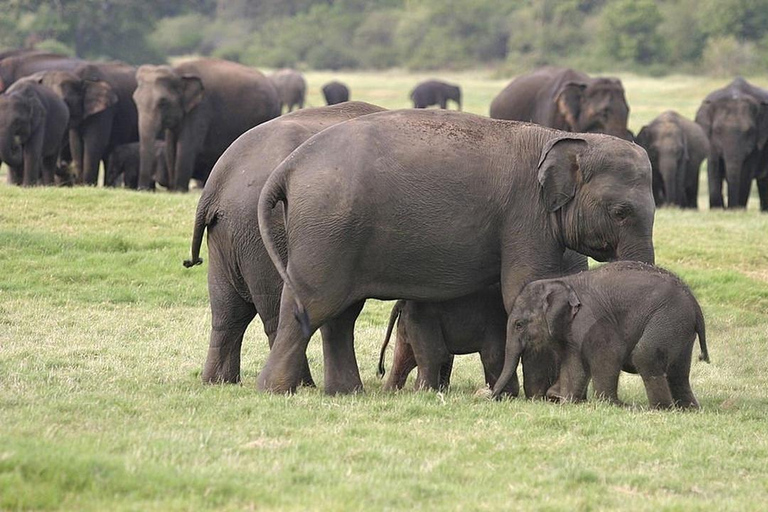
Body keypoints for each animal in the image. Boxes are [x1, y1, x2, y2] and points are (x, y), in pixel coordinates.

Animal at [133, 59, 280, 192]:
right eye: (135, 100)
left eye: (163, 102)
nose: (142, 189)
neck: (178, 73)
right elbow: (171, 147)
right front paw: (173, 190)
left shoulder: (201, 109)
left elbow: (186, 147)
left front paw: (179, 190)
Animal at [183, 101, 386, 385]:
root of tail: (217, 182)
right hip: (264, 237)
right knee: (279, 313)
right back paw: (302, 385)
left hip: (229, 236)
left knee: (228, 312)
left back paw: (219, 381)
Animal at [378, 251, 587, 396]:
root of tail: (401, 302)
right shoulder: (495, 318)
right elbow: (494, 354)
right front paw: (507, 394)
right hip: (424, 319)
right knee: (435, 355)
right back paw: (425, 393)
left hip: (410, 324)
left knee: (404, 357)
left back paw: (391, 392)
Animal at [492, 261, 709, 409]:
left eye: (519, 325)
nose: (490, 396)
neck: (564, 281)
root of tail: (695, 304)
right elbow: (574, 362)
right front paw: (567, 401)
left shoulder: (593, 320)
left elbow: (609, 354)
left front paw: (611, 405)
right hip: (680, 328)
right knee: (678, 371)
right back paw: (688, 410)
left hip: (668, 317)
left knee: (645, 356)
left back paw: (658, 409)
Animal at [695, 78, 768, 210]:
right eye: (717, 130)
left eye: (749, 132)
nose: (727, 207)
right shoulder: (710, 138)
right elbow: (713, 165)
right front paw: (717, 209)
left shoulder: (757, 142)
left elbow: (746, 172)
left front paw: (737, 209)